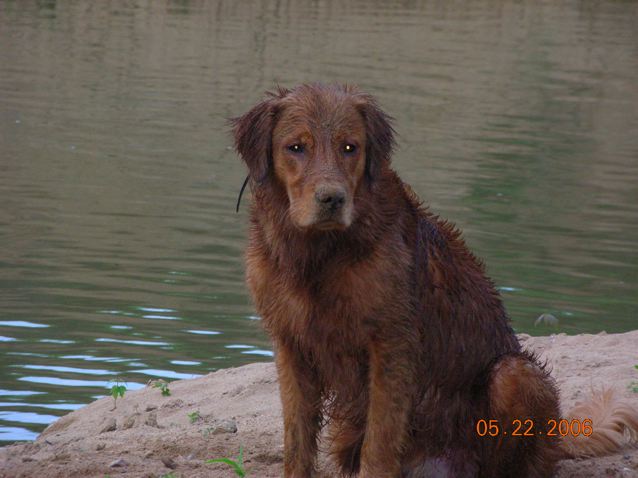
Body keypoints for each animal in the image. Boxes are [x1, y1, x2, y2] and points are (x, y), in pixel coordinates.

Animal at [234, 84, 638, 476]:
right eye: (295, 147)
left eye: (350, 147)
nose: (332, 199)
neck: (318, 254)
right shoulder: (291, 345)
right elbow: (297, 442)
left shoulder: (391, 344)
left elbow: (380, 442)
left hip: (515, 374)